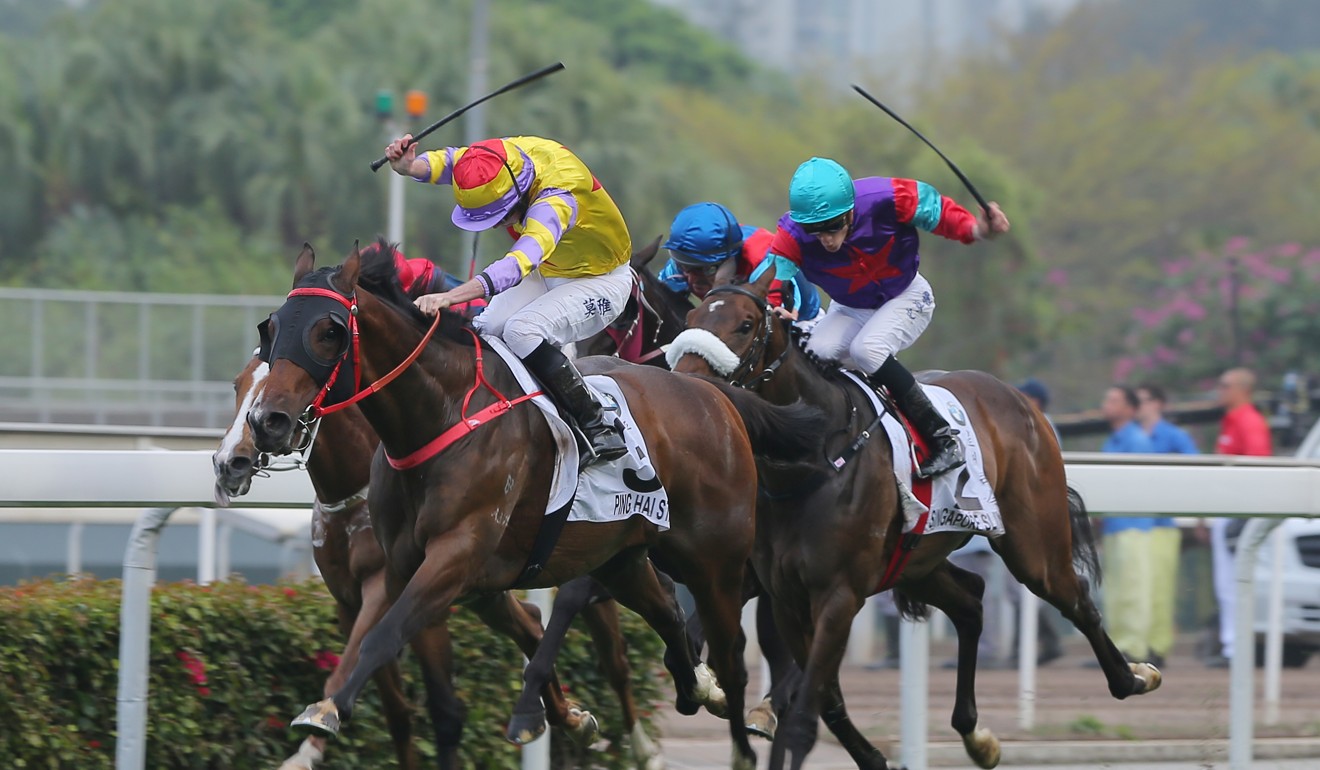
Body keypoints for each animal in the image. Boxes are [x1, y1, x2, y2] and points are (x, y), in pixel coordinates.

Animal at [241, 243, 813, 770]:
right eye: (270, 328)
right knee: (668, 612)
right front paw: (566, 716)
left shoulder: (454, 558)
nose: (267, 421)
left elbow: (381, 638)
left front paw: (327, 710)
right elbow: (442, 679)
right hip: (623, 557)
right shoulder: (420, 570)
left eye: (329, 331)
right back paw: (695, 685)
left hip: (716, 564)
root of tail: (710, 392)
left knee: (733, 656)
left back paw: (737, 738)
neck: (441, 416)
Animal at [670, 266, 1166, 770]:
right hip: (917, 561)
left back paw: (1133, 676)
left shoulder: (839, 593)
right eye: (690, 316)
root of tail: (1022, 401)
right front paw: (870, 756)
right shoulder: (787, 597)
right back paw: (976, 735)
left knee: (1076, 598)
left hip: (1033, 546)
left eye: (745, 324)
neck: (814, 455)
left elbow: (810, 701)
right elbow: (825, 695)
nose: (686, 385)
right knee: (971, 599)